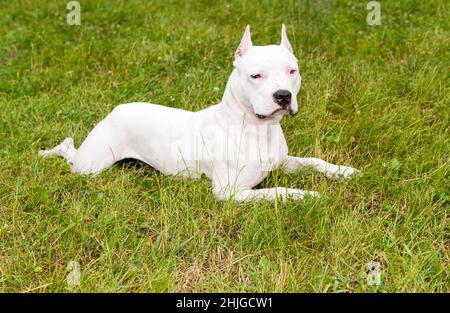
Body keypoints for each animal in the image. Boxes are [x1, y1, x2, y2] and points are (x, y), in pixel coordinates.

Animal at [40, 25, 360, 201]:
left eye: (292, 71)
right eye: (256, 75)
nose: (283, 95)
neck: (257, 128)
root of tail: (116, 109)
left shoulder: (283, 162)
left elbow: (313, 161)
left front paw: (343, 171)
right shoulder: (230, 193)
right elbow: (277, 192)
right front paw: (305, 196)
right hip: (89, 165)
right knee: (70, 152)